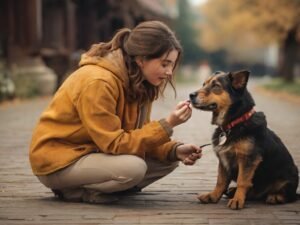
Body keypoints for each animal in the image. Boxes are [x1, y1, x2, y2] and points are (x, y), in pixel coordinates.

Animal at [190, 70, 298, 209]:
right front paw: (213, 196)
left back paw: (275, 196)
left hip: (289, 176)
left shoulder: (248, 159)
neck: (234, 123)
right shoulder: (223, 159)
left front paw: (237, 200)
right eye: (204, 84)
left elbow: (242, 181)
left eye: (216, 86)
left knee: (289, 195)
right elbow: (221, 181)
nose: (191, 95)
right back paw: (232, 191)